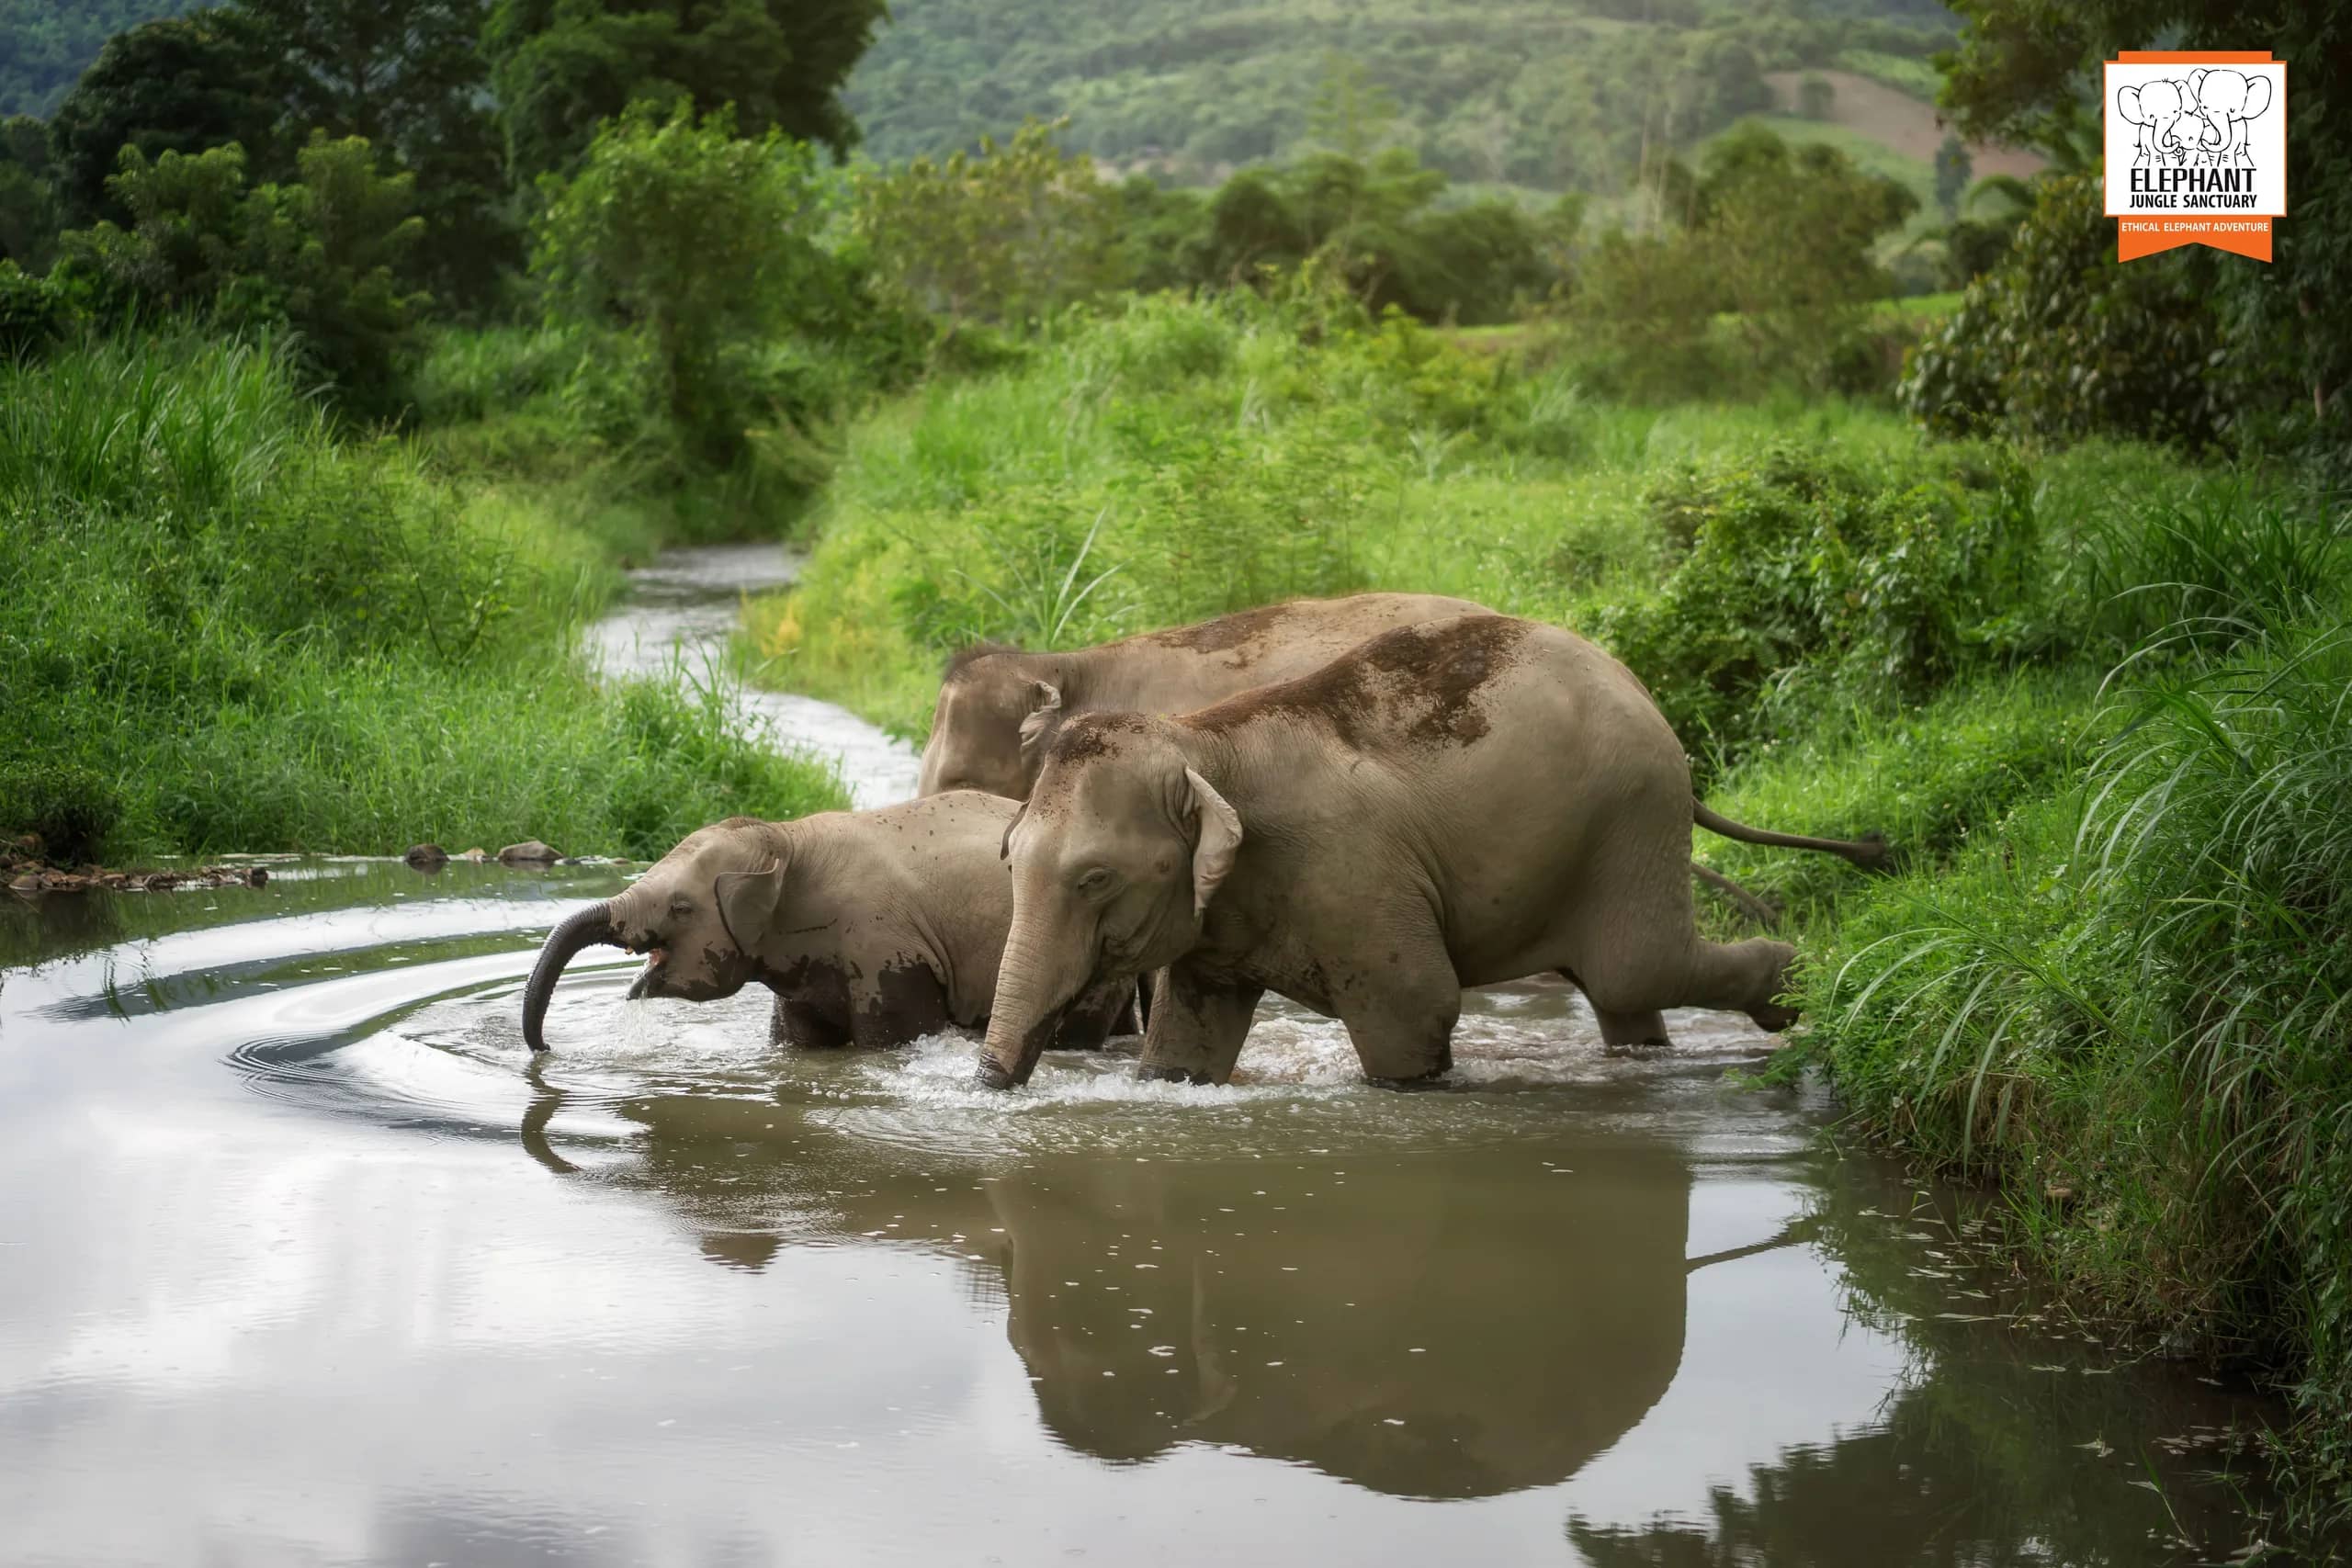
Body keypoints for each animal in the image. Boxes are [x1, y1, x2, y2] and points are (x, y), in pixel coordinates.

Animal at [519, 794, 1132, 1055]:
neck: (787, 840)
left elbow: (893, 1040)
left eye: (681, 908)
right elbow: (799, 1044)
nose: (547, 1050)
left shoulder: (888, 953)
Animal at [974, 615, 1891, 1090]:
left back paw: (1791, 989)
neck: (1205, 740)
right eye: (1008, 860)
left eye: (1095, 877)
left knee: (1637, 967)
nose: (989, 1080)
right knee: (1624, 993)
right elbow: (1189, 1040)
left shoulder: (1355, 876)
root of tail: (1644, 695)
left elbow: (1418, 1005)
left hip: (1633, 817)